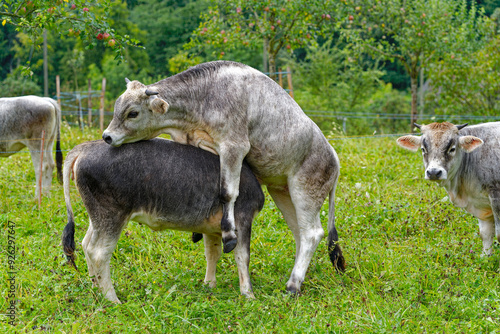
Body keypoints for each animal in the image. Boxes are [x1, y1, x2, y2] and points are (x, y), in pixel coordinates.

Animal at [61, 138, 266, 302]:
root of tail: (85, 148)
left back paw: (96, 288)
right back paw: (112, 299)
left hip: (97, 216)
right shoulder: (242, 218)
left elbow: (212, 253)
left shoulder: (213, 227)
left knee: (86, 244)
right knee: (98, 253)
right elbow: (243, 257)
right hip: (112, 215)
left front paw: (209, 285)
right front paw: (249, 295)